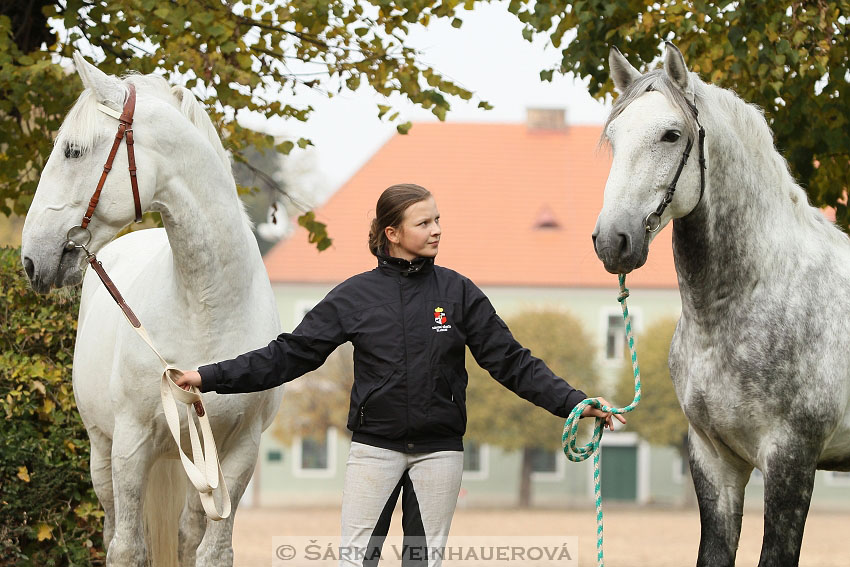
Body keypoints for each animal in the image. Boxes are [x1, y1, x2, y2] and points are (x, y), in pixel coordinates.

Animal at [19, 54, 282, 567]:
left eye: (73, 151)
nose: (31, 259)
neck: (206, 307)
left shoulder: (241, 450)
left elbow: (211, 552)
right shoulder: (130, 445)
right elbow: (127, 548)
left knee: (185, 535)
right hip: (102, 452)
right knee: (113, 529)